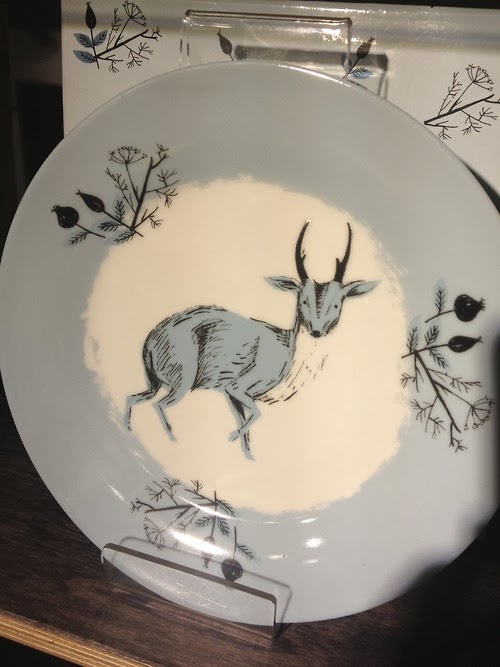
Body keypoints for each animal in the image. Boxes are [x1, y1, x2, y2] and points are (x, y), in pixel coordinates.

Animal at [125, 221, 378, 458]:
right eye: (303, 300)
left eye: (336, 304)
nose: (316, 331)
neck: (287, 357)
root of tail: (148, 342)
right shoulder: (236, 387)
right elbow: (256, 415)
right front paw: (231, 438)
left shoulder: (231, 395)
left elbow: (246, 429)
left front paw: (248, 456)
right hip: (183, 380)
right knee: (158, 405)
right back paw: (174, 439)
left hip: (155, 384)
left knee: (132, 398)